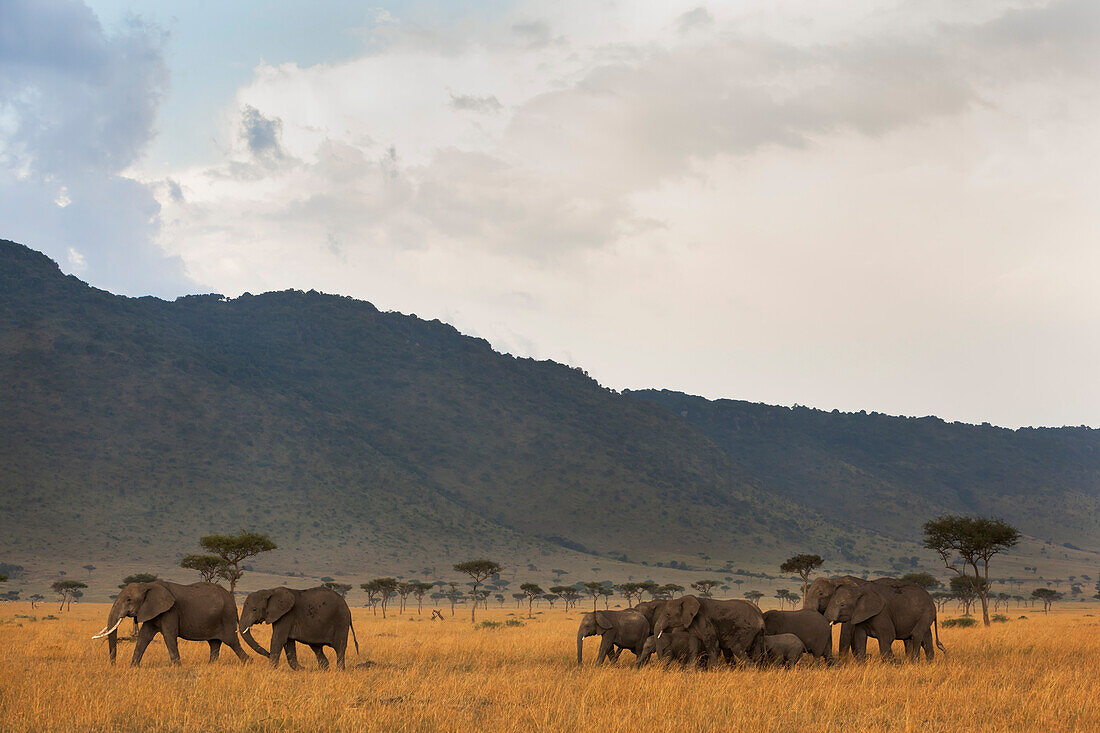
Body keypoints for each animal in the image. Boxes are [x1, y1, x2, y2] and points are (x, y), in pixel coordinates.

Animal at [90, 581, 249, 664]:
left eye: (129, 599)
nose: (113, 664)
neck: (147, 585)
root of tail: (232, 601)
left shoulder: (170, 611)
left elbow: (169, 636)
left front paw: (177, 667)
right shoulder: (152, 610)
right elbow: (144, 637)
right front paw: (133, 667)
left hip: (226, 616)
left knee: (232, 642)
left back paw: (249, 662)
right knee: (214, 644)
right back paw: (211, 665)